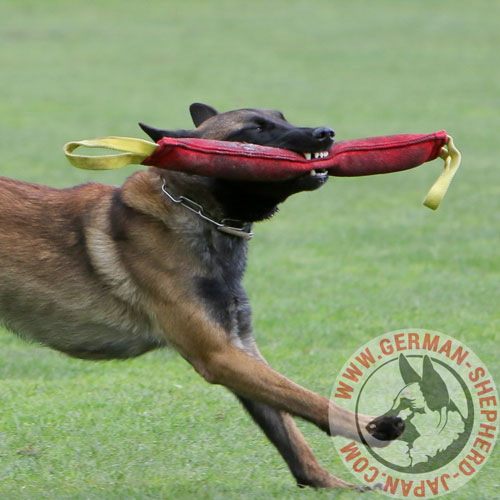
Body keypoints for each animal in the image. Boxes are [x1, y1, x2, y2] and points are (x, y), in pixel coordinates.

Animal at [0, 103, 404, 490]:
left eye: (282, 117)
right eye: (255, 129)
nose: (326, 133)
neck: (198, 213)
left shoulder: (239, 347)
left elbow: (288, 429)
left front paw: (329, 484)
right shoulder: (219, 355)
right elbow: (306, 398)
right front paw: (372, 426)